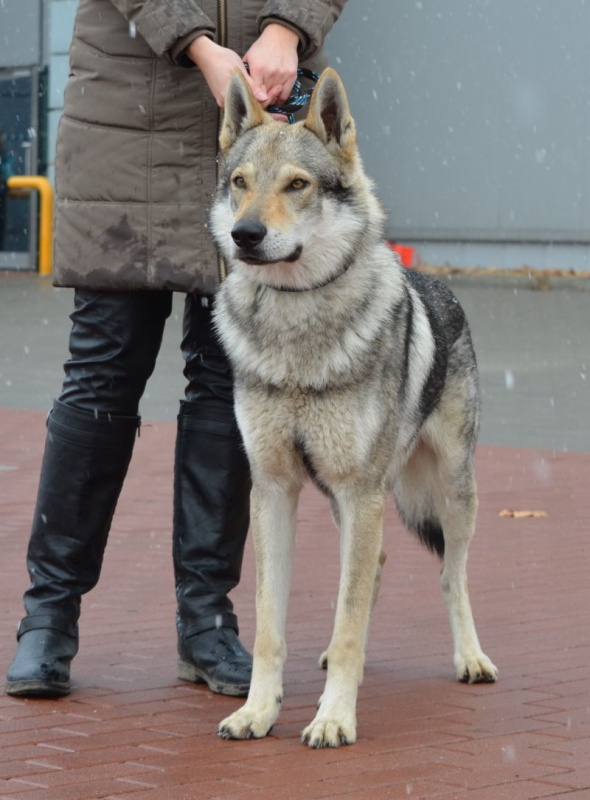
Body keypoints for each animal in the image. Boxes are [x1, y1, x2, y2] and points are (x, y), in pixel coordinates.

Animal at [210, 65, 498, 748]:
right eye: (240, 183)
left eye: (298, 185)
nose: (245, 235)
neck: (295, 333)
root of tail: (440, 281)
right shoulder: (272, 488)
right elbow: (272, 625)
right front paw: (257, 712)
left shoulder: (359, 491)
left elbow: (349, 622)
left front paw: (334, 718)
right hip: (345, 503)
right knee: (377, 568)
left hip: (449, 491)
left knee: (449, 574)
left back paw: (471, 658)